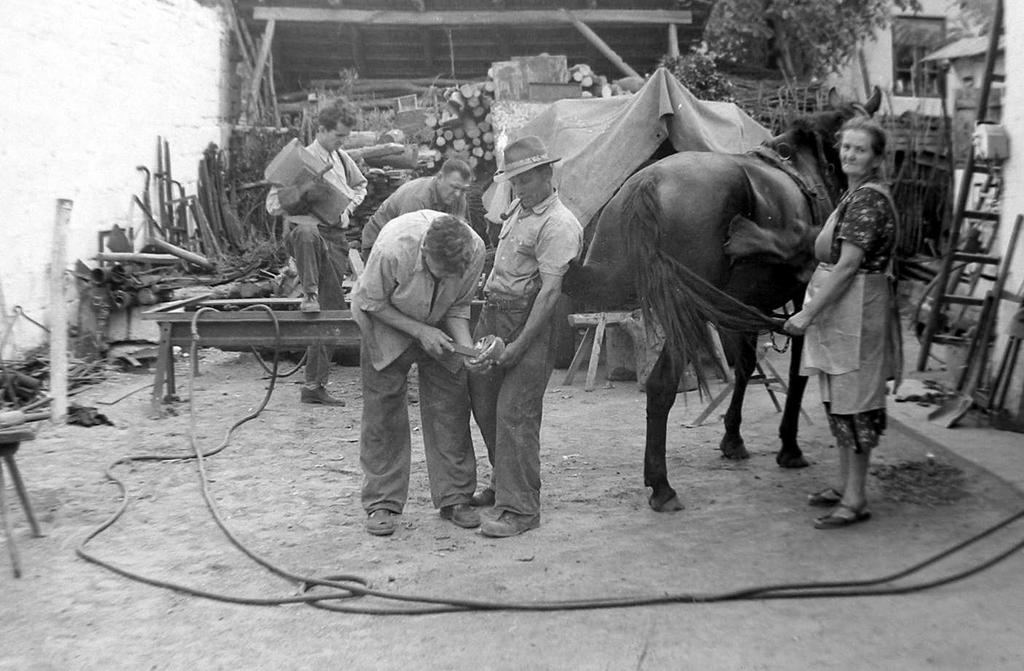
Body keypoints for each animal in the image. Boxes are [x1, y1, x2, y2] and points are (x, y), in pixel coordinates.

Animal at [565, 88, 884, 510]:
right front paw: (789, 446)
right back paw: (662, 485)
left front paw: (732, 438)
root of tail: (651, 181)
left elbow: (746, 366)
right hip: (687, 313)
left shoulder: (745, 305)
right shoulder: (803, 299)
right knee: (661, 386)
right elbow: (797, 373)